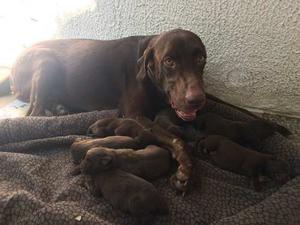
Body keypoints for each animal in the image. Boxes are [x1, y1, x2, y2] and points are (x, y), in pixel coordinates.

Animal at [8, 29, 207, 119]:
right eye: (169, 61)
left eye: (201, 58)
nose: (197, 99)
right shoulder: (133, 113)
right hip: (46, 62)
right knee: (34, 113)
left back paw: (59, 107)